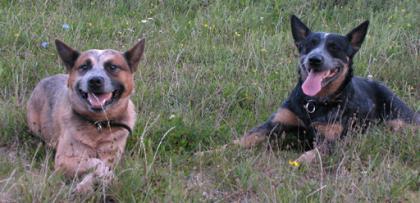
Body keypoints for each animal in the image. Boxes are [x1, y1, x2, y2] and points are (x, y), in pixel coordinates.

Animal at [26, 38, 144, 193]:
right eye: (84, 66)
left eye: (112, 67)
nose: (95, 80)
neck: (98, 126)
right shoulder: (63, 159)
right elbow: (96, 163)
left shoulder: (112, 157)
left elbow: (100, 167)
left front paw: (88, 186)